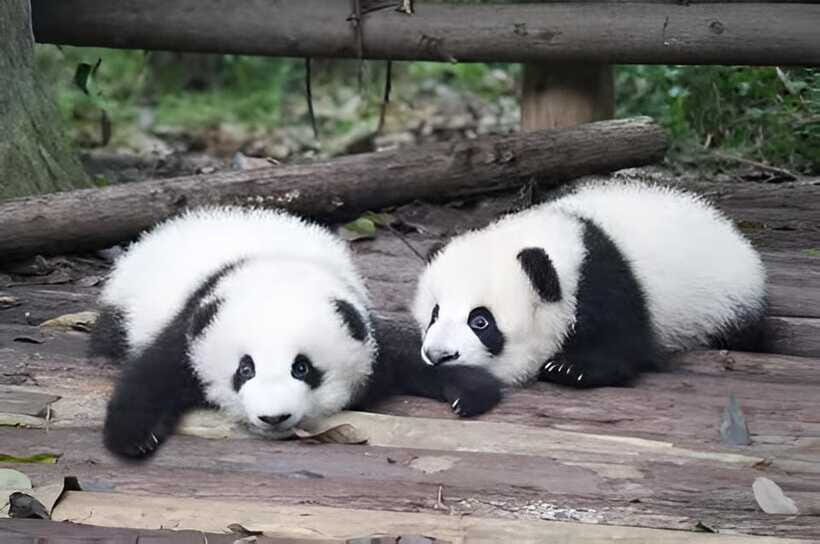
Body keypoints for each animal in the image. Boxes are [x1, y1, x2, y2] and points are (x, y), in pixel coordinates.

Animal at [91, 207, 501, 459]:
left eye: (302, 368)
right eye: (245, 369)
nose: (274, 417)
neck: (277, 268)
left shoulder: (361, 326)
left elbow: (408, 354)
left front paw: (470, 391)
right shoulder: (195, 322)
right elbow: (153, 373)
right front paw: (134, 438)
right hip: (126, 304)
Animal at [413, 181, 767, 402]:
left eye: (480, 322)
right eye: (434, 314)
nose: (439, 355)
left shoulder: (604, 281)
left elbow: (623, 343)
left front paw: (570, 368)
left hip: (726, 302)